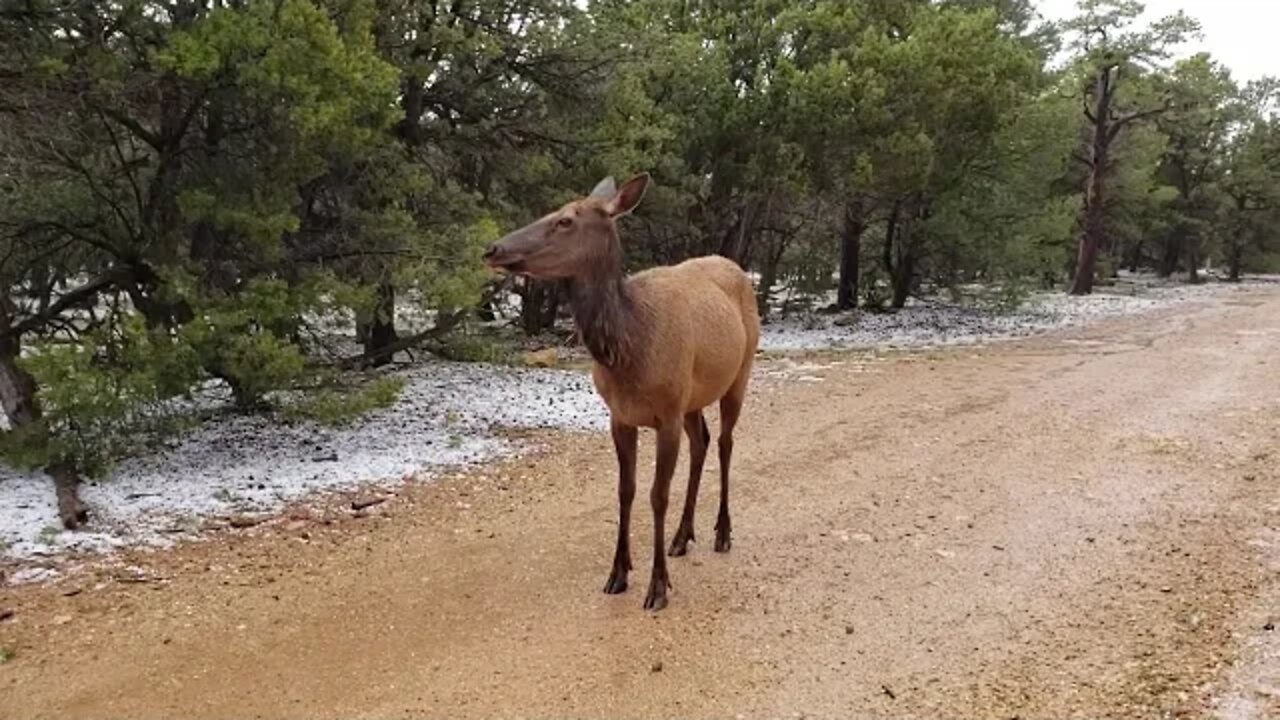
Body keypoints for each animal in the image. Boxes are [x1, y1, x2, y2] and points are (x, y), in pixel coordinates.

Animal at [483, 173, 760, 611]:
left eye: (566, 220)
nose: (494, 248)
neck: (628, 352)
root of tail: (737, 268)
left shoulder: (665, 414)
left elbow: (657, 495)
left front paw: (657, 586)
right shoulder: (620, 416)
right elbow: (625, 492)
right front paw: (618, 573)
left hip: (740, 373)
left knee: (725, 442)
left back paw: (721, 532)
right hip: (692, 397)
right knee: (701, 441)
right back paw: (683, 536)